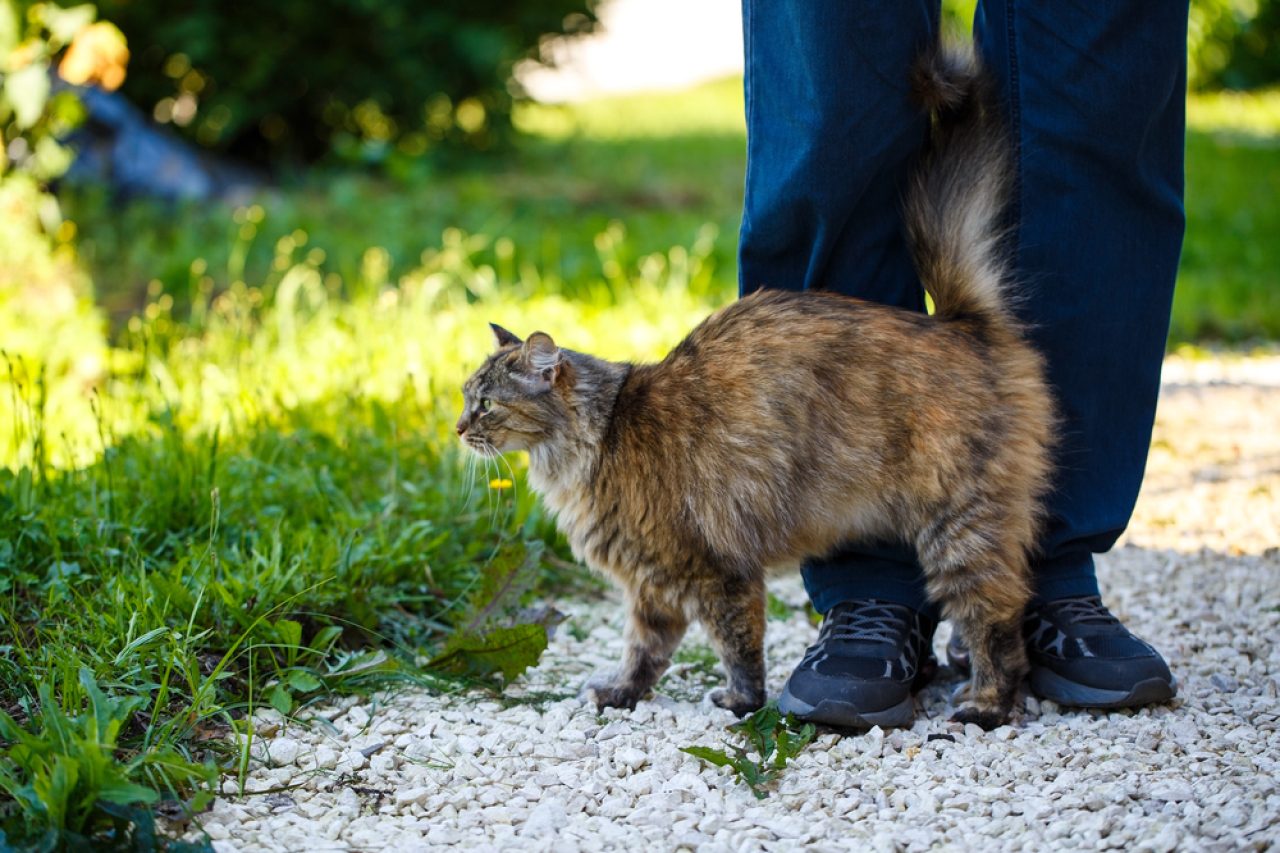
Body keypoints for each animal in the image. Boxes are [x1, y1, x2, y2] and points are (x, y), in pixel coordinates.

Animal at [455, 43, 1054, 727]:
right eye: (465, 399)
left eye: (487, 405)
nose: (457, 428)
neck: (594, 441)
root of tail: (960, 322)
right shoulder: (650, 583)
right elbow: (644, 649)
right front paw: (622, 693)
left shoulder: (714, 568)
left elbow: (736, 643)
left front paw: (742, 702)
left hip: (960, 523)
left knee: (997, 614)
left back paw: (986, 703)